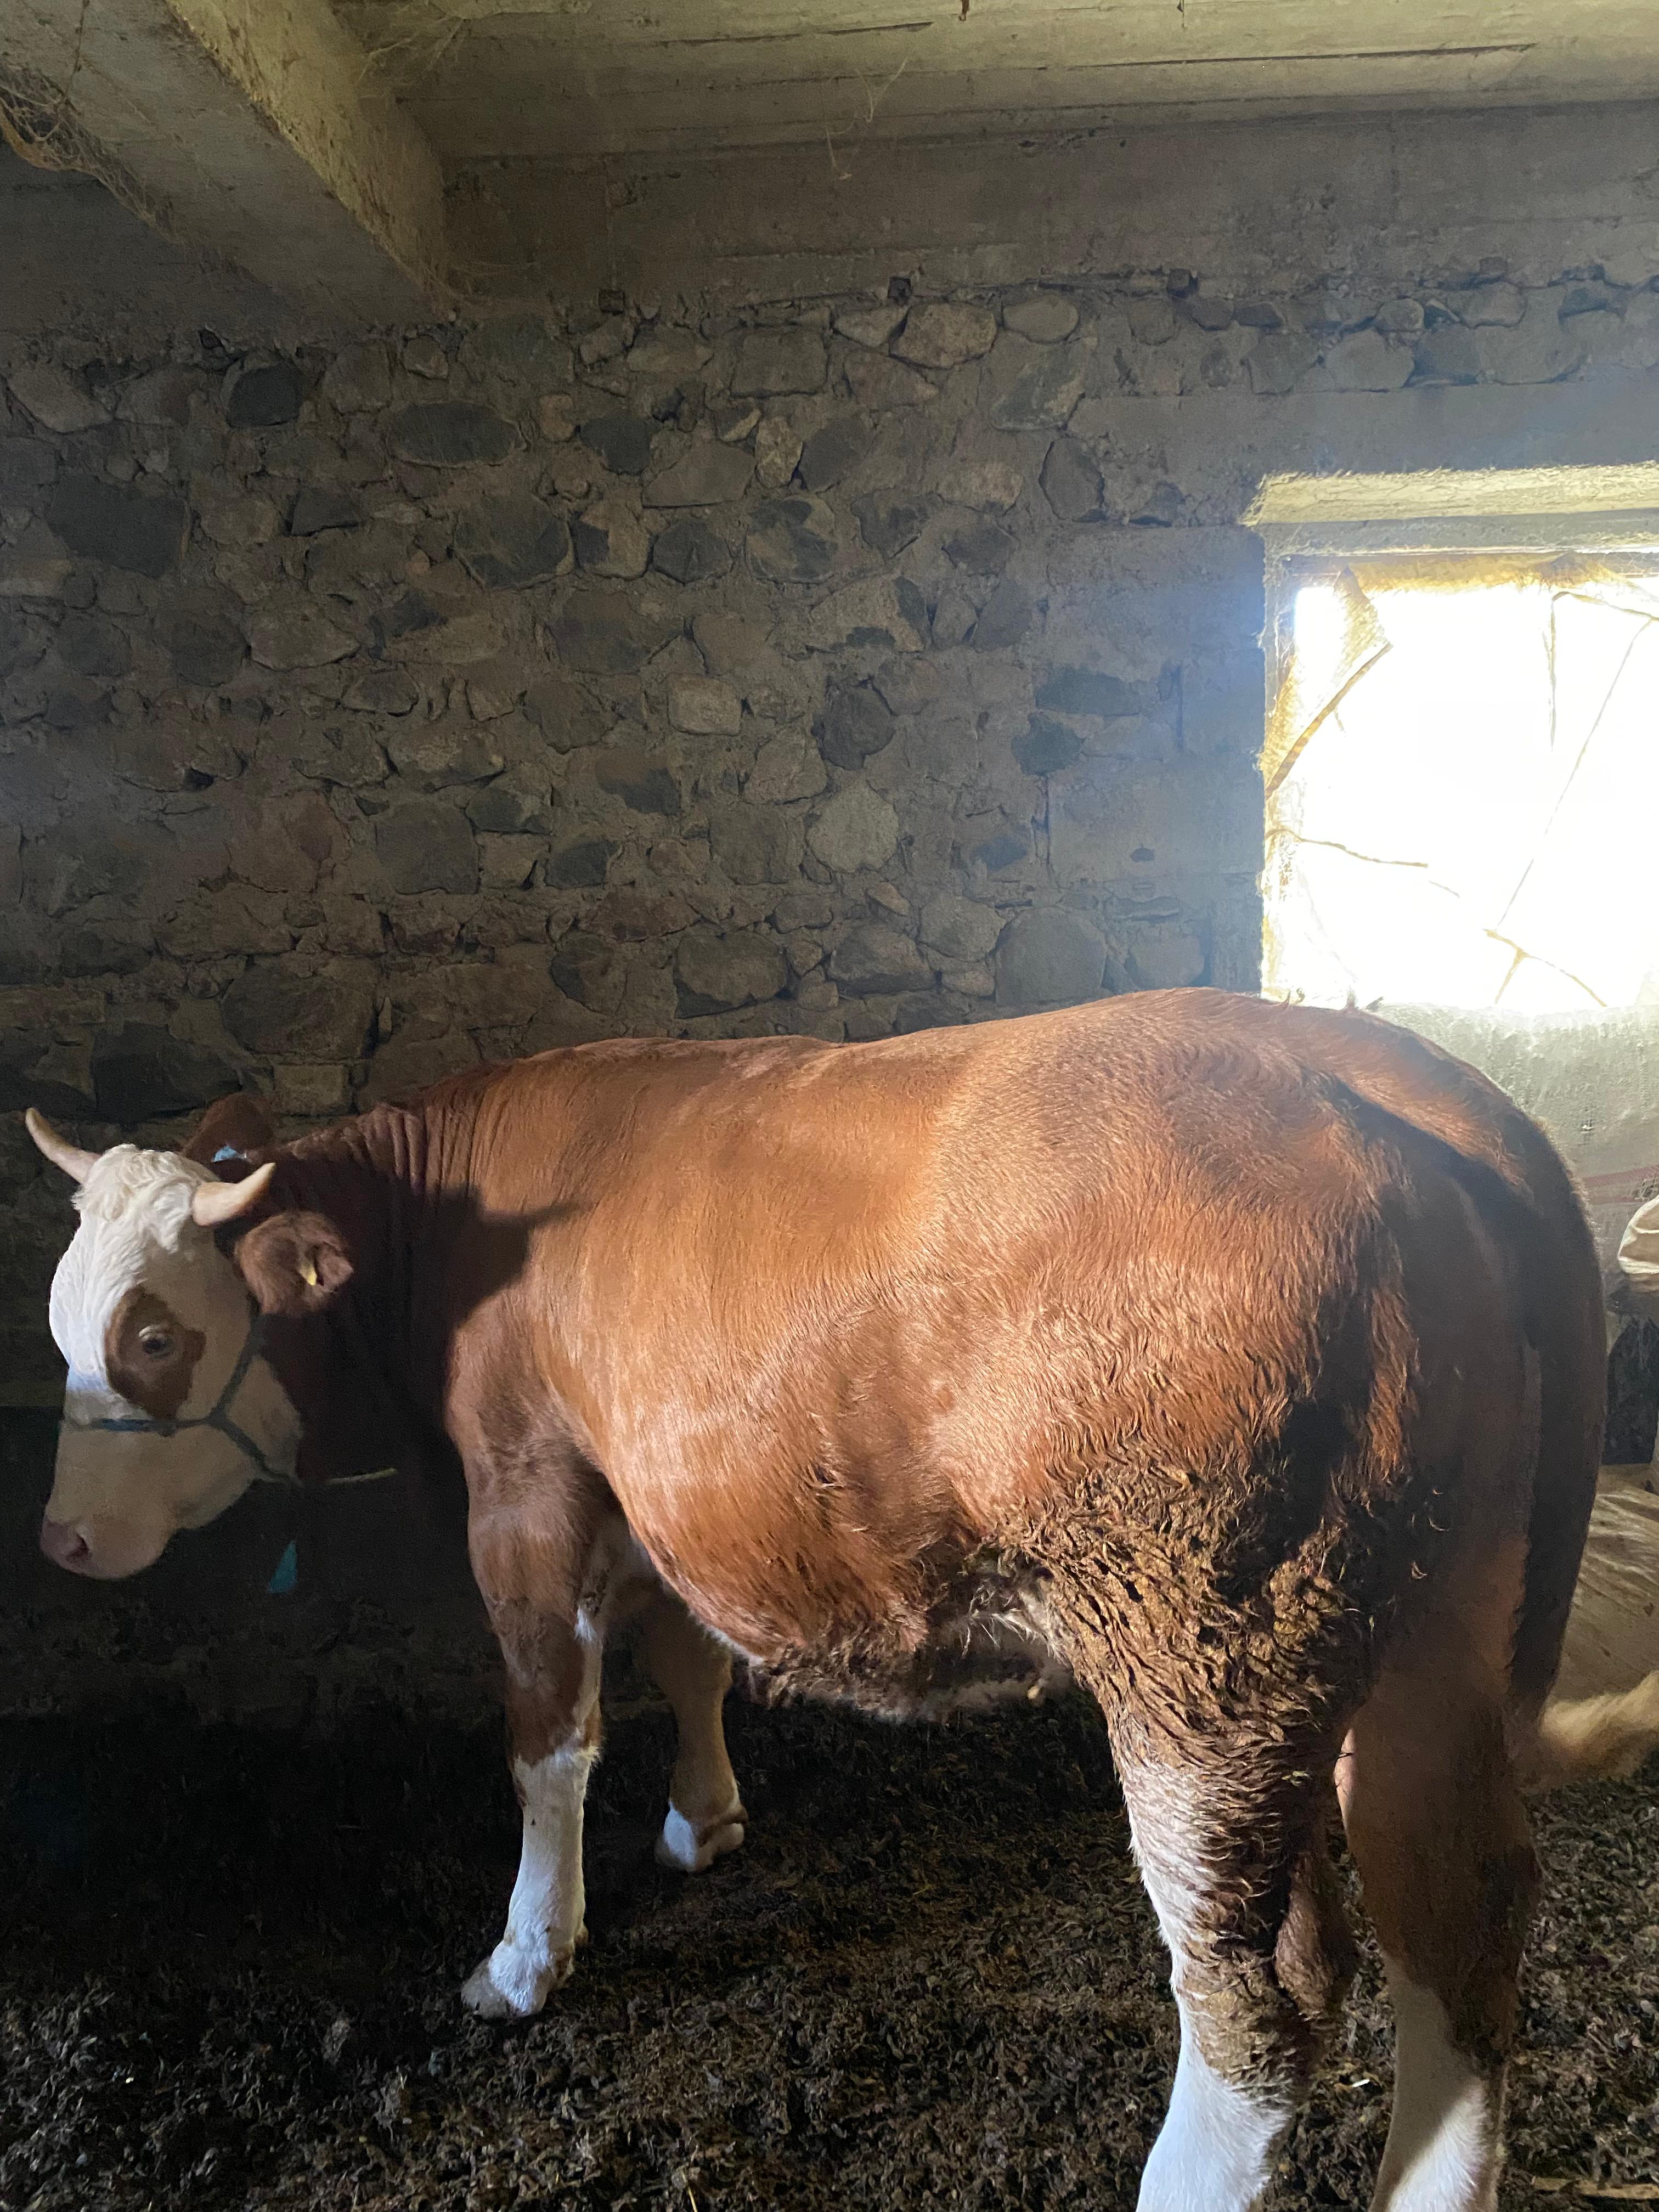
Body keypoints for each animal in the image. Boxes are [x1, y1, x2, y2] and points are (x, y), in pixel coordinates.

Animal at [19, 1000, 1619, 2212]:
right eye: (57, 1322)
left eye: (152, 1334)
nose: (62, 1541)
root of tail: (1399, 1085)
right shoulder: (658, 1476)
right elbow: (686, 1656)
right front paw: (706, 1820)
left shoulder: (525, 1479)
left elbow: (549, 1733)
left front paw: (526, 1957)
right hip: (1437, 1632)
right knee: (1456, 1916)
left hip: (1202, 1644)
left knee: (1264, 1989)